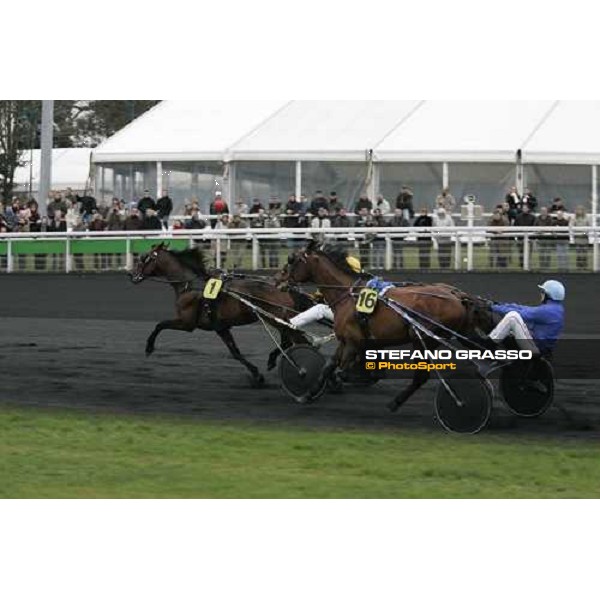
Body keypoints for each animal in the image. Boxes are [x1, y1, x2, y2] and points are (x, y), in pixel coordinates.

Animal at [130, 243, 310, 384]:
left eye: (144, 258)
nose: (132, 275)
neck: (190, 286)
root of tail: (286, 288)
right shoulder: (221, 327)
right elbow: (235, 352)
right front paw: (256, 374)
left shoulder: (187, 323)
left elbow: (159, 325)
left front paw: (149, 347)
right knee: (288, 341)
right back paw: (275, 360)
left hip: (275, 319)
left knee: (294, 340)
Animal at [282, 241, 492, 410]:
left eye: (291, 260)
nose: (279, 280)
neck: (348, 294)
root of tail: (459, 297)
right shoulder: (344, 340)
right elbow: (328, 367)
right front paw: (308, 393)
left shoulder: (353, 341)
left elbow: (342, 370)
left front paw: (343, 380)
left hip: (422, 339)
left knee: (421, 377)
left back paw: (398, 402)